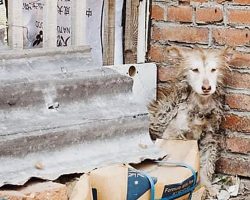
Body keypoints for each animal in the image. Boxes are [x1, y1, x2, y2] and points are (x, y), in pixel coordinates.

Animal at [147, 47, 231, 198]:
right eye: (195, 70)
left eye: (213, 70)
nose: (206, 87)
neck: (200, 106)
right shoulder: (173, 134)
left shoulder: (209, 138)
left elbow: (206, 164)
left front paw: (207, 186)